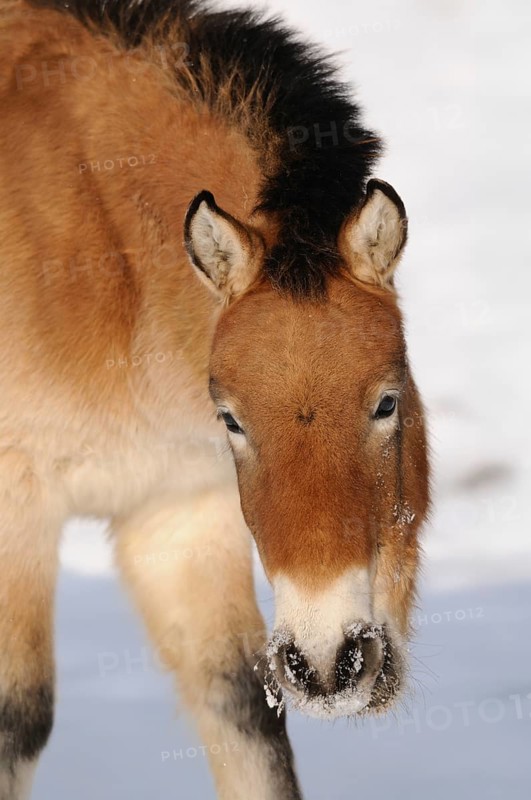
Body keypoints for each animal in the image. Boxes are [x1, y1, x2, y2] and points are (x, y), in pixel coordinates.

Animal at [0, 1, 430, 797]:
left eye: (386, 402)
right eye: (232, 418)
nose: (330, 663)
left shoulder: (177, 513)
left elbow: (243, 716)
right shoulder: (18, 508)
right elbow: (19, 717)